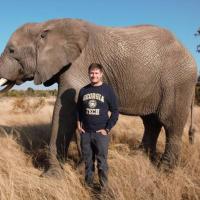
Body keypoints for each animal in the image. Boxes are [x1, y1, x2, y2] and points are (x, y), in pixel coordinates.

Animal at [0, 18, 197, 176]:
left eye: (11, 51)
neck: (45, 24)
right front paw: (79, 169)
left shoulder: (78, 64)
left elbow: (64, 112)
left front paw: (52, 177)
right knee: (151, 122)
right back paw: (139, 157)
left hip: (178, 82)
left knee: (169, 123)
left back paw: (164, 171)